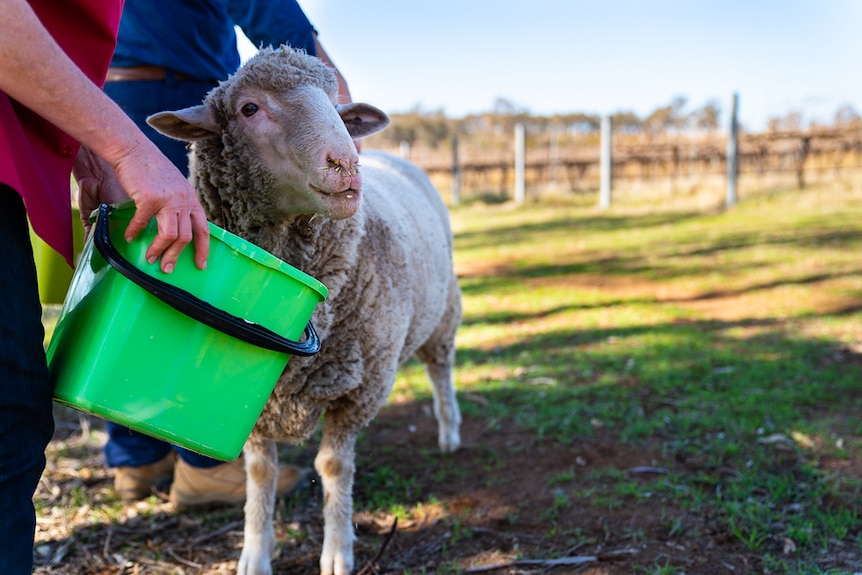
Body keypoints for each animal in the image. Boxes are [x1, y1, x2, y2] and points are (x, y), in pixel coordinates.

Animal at [147, 45, 466, 575]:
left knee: (440, 370)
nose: (347, 163)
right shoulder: (252, 400)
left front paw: (337, 548)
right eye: (248, 108)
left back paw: (449, 431)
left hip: (442, 314)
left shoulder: (360, 387)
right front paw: (255, 553)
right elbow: (261, 473)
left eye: (335, 106)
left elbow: (333, 466)